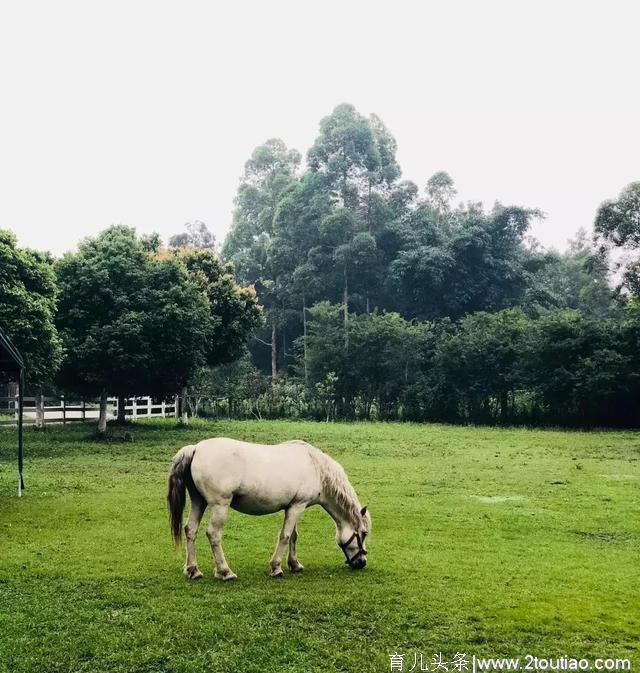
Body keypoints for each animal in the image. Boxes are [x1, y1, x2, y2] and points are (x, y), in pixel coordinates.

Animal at [168, 436, 372, 576]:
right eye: (363, 533)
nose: (362, 562)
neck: (316, 468)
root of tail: (196, 448)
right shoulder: (297, 507)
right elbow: (285, 536)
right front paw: (276, 567)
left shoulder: (293, 506)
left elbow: (293, 536)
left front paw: (294, 564)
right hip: (220, 505)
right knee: (213, 534)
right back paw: (225, 571)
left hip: (199, 503)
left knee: (190, 530)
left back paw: (193, 570)